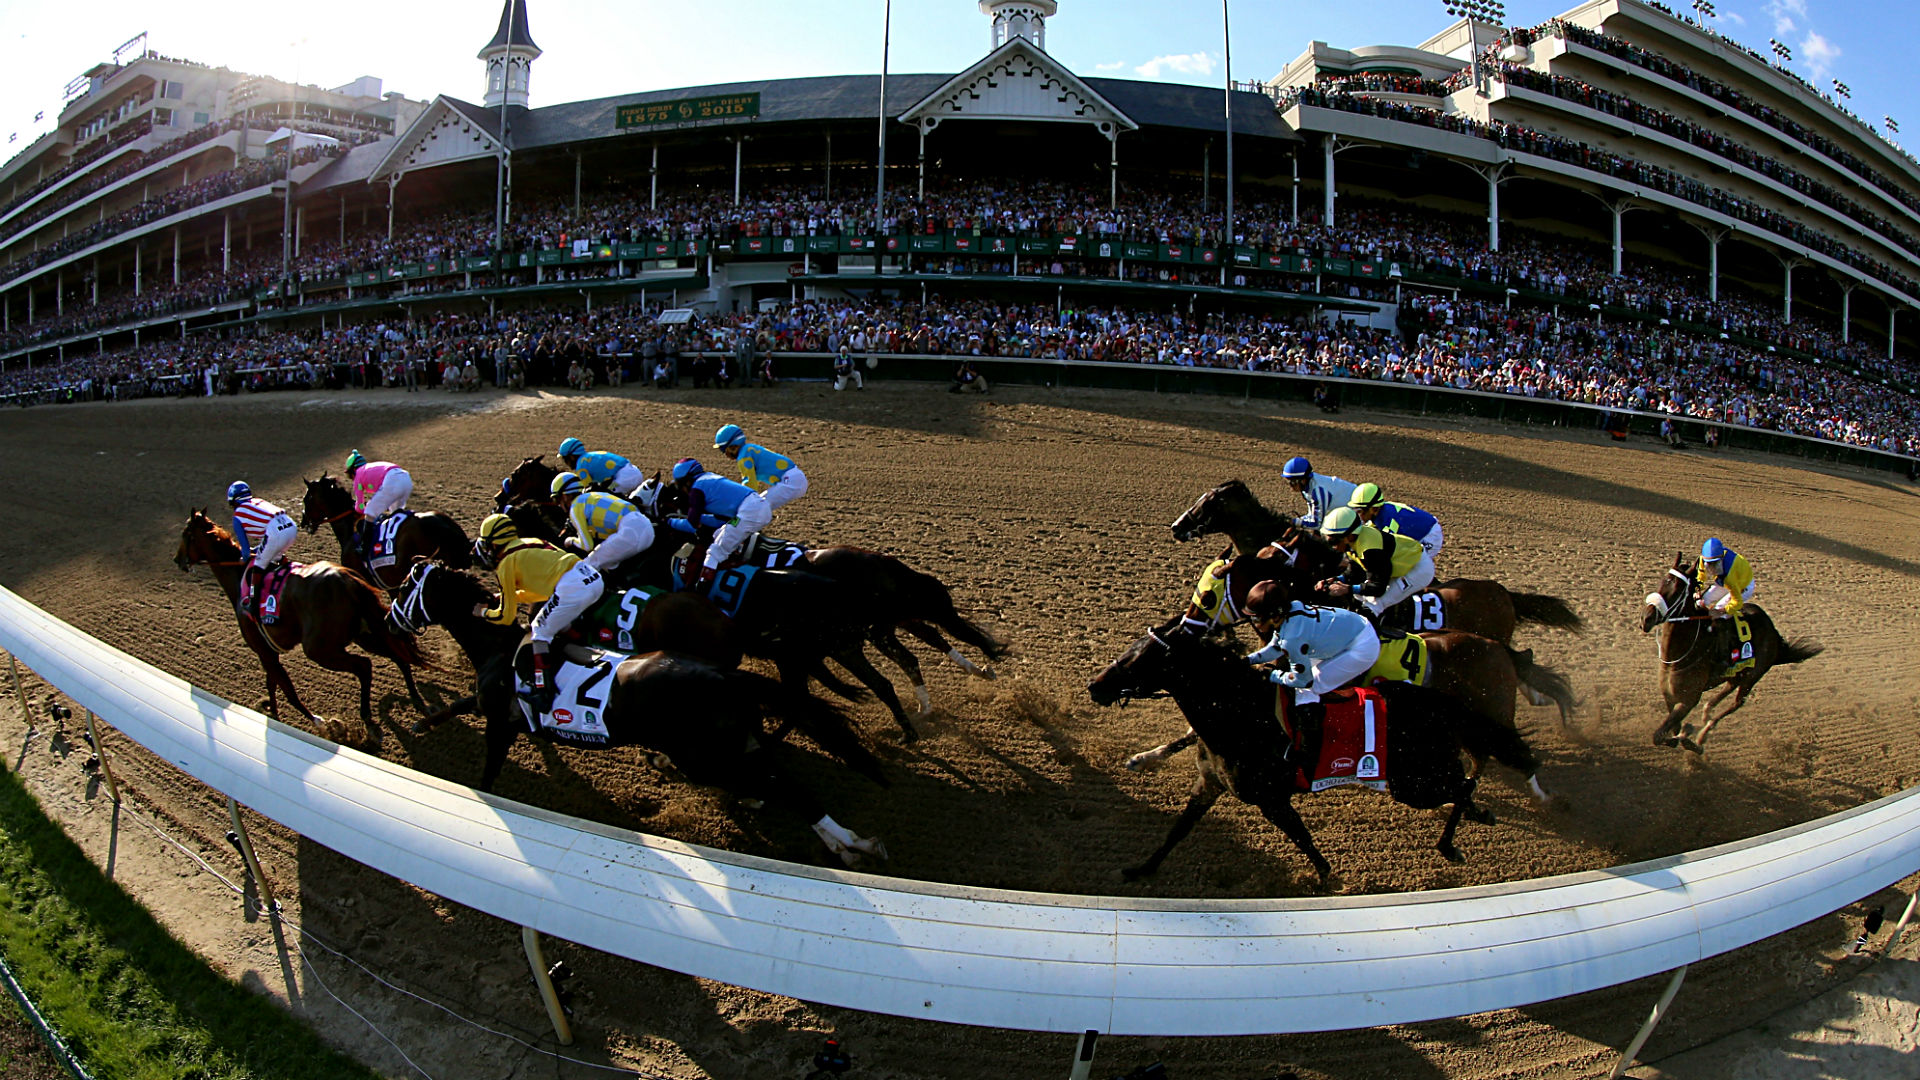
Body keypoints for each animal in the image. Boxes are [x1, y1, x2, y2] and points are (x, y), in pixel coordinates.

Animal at [173, 503, 428, 737]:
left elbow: (288, 691)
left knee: (363, 666)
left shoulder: (263, 651)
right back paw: (415, 698)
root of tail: (347, 580)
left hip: (319, 648)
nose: (177, 559)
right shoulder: (268, 652)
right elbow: (273, 684)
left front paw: (320, 723)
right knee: (397, 655)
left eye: (186, 534)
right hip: (363, 633)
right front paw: (273, 714)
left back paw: (366, 714)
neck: (238, 579)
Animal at [384, 557, 890, 860]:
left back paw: (852, 842)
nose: (389, 619)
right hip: (732, 745)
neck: (497, 646)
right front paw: (423, 721)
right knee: (777, 778)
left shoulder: (498, 724)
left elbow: (487, 775)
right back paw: (843, 842)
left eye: (407, 586)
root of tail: (722, 674)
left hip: (703, 757)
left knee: (780, 787)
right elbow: (457, 704)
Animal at [1082, 622, 1543, 883]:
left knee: (1464, 783)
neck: (1240, 712)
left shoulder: (1271, 798)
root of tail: (1441, 703)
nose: (1095, 685)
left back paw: (1454, 843)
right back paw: (1479, 816)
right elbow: (1177, 830)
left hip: (1415, 782)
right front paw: (1140, 869)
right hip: (1418, 777)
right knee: (1464, 782)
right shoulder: (1210, 783)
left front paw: (1326, 878)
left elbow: (1301, 837)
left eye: (1140, 659)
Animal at [1643, 549, 1820, 753]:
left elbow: (1660, 735)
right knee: (1727, 688)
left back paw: (1704, 734)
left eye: (1678, 590)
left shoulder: (1689, 699)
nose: (1646, 618)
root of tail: (1774, 633)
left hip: (1753, 675)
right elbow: (1669, 733)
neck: (1680, 654)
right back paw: (1707, 713)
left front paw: (1691, 739)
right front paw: (1685, 733)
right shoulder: (1669, 696)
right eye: (1662, 581)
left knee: (1737, 703)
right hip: (1738, 673)